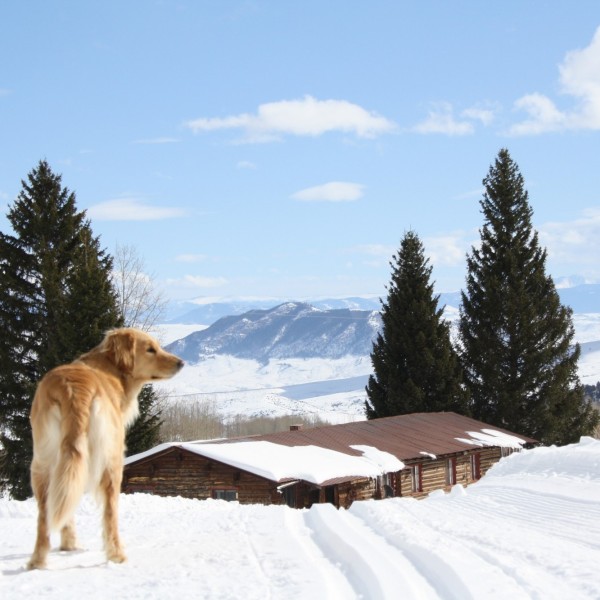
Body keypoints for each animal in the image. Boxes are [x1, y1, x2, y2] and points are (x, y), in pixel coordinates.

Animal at [28, 328, 183, 568]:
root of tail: (72, 388)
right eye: (150, 349)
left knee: (48, 511)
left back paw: (39, 559)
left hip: (43, 461)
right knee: (110, 514)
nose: (181, 362)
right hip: (112, 460)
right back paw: (116, 554)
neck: (111, 368)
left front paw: (67, 545)